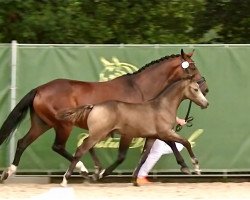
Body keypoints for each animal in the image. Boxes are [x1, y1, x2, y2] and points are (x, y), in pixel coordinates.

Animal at [57, 76, 209, 187]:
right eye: (195, 89)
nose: (206, 103)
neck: (162, 107)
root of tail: (93, 106)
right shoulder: (165, 133)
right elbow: (185, 142)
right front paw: (195, 167)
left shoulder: (153, 136)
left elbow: (144, 157)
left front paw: (134, 180)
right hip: (98, 134)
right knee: (80, 150)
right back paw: (67, 179)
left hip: (99, 134)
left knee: (86, 146)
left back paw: (95, 172)